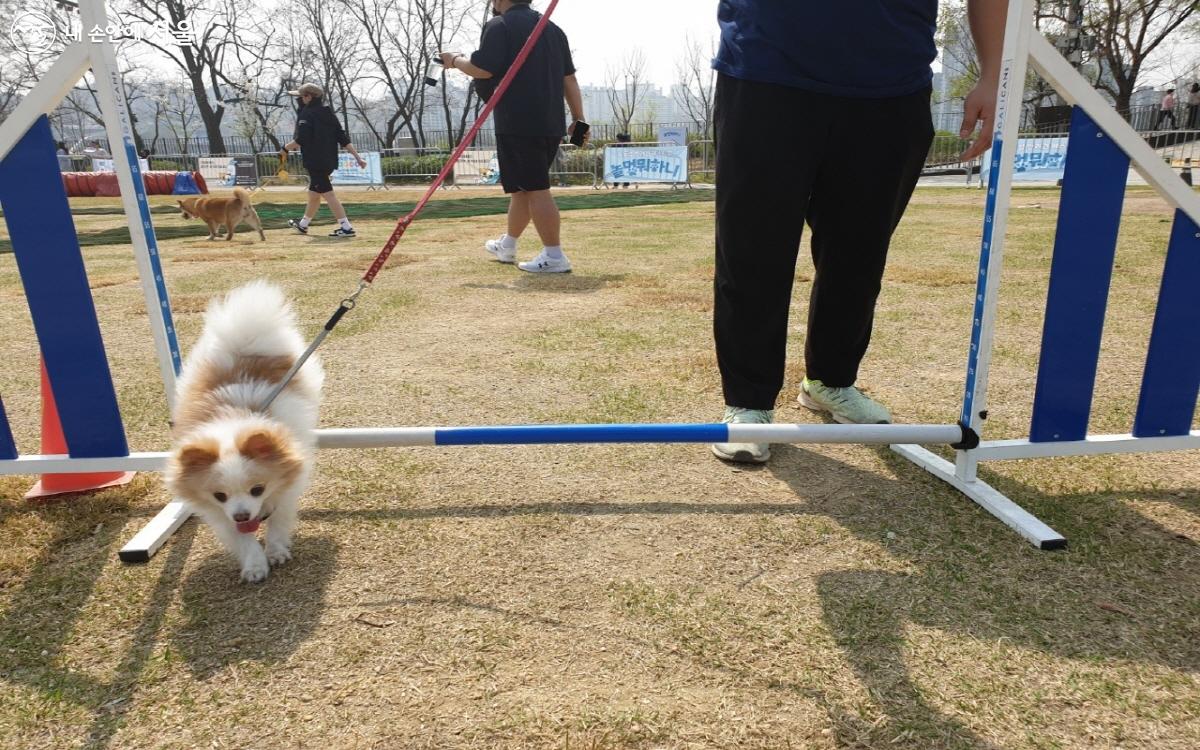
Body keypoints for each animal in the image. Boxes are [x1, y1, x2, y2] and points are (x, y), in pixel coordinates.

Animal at [166, 280, 324, 578]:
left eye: (257, 489)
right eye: (220, 495)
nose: (241, 515)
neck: (232, 425)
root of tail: (244, 348)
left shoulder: (286, 489)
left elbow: (277, 523)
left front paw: (276, 551)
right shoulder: (220, 514)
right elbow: (242, 539)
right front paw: (255, 565)